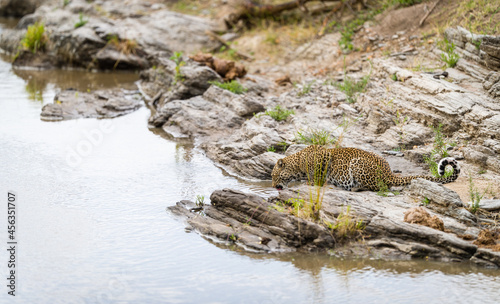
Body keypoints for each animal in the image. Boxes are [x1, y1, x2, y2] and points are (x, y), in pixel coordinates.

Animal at [274, 144, 460, 191]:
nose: (274, 186)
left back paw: (355, 188)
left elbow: (317, 175)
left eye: (274, 177)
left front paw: (311, 183)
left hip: (356, 163)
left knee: (378, 187)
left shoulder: (323, 158)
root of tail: (389, 173)